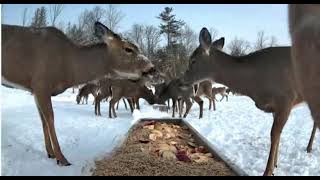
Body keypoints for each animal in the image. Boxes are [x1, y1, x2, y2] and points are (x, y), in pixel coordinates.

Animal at [1, 21, 156, 166]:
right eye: (128, 48)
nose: (152, 68)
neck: (69, 65)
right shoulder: (41, 83)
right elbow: (50, 118)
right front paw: (62, 159)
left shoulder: (34, 89)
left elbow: (43, 120)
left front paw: (50, 153)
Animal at [181, 28, 304, 176]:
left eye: (193, 60)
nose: (183, 80)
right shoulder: (276, 108)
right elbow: (278, 135)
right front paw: (275, 165)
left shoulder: (286, 98)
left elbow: (274, 135)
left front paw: (268, 171)